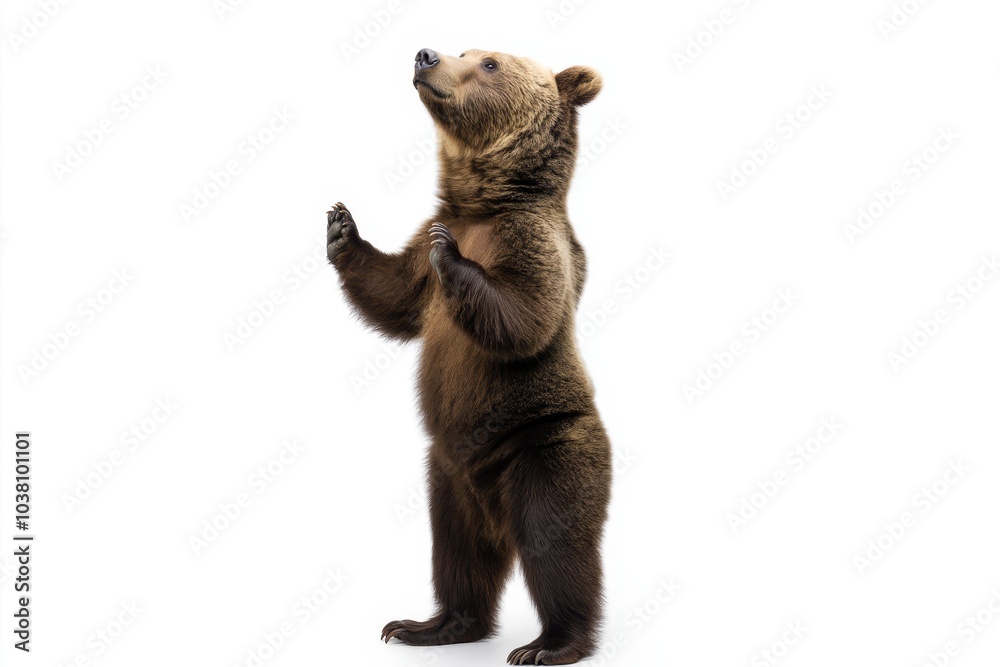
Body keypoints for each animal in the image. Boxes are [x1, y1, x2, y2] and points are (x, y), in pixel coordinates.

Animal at [326, 47, 612, 666]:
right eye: (465, 51)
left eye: (490, 62)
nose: (425, 54)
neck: (484, 204)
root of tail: (494, 505)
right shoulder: (425, 249)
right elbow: (394, 294)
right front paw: (341, 226)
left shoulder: (532, 241)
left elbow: (526, 316)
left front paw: (451, 255)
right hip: (448, 478)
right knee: (457, 554)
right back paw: (429, 625)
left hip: (544, 444)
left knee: (557, 544)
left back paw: (552, 644)